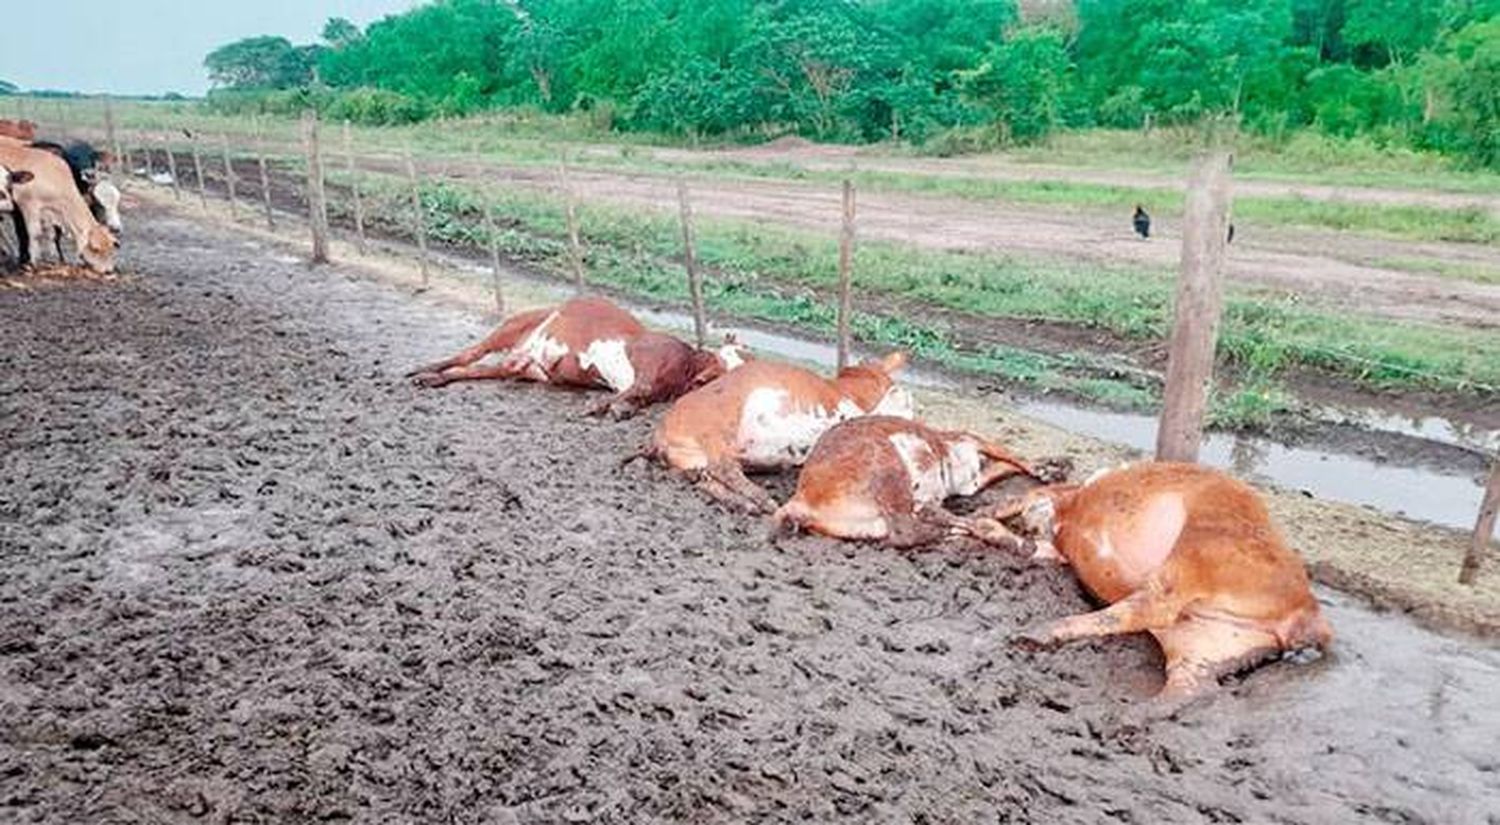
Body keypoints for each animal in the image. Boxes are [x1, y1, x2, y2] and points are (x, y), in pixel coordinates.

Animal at [405, 295, 750, 417]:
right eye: (722, 363)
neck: (686, 366)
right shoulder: (648, 364)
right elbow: (637, 388)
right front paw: (600, 407)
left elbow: (637, 395)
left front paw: (620, 408)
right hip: (511, 327)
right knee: (468, 354)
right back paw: (421, 369)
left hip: (523, 367)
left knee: (470, 371)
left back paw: (432, 380)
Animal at [636, 352, 912, 513]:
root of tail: (658, 433)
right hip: (717, 430)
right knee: (723, 468)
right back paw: (763, 501)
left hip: (696, 460)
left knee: (708, 481)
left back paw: (746, 503)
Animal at [774, 420, 1056, 549]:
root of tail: (800, 498)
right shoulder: (964, 439)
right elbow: (1006, 453)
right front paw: (1047, 468)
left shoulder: (970, 480)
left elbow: (1002, 466)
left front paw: (1049, 468)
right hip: (889, 464)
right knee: (910, 528)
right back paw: (1015, 542)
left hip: (870, 525)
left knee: (907, 532)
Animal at [1002, 465, 1332, 705]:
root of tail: (1309, 612)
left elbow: (1036, 496)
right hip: (1204, 644)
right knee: (1190, 687)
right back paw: (1125, 721)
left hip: (1200, 547)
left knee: (1152, 608)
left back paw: (1030, 635)